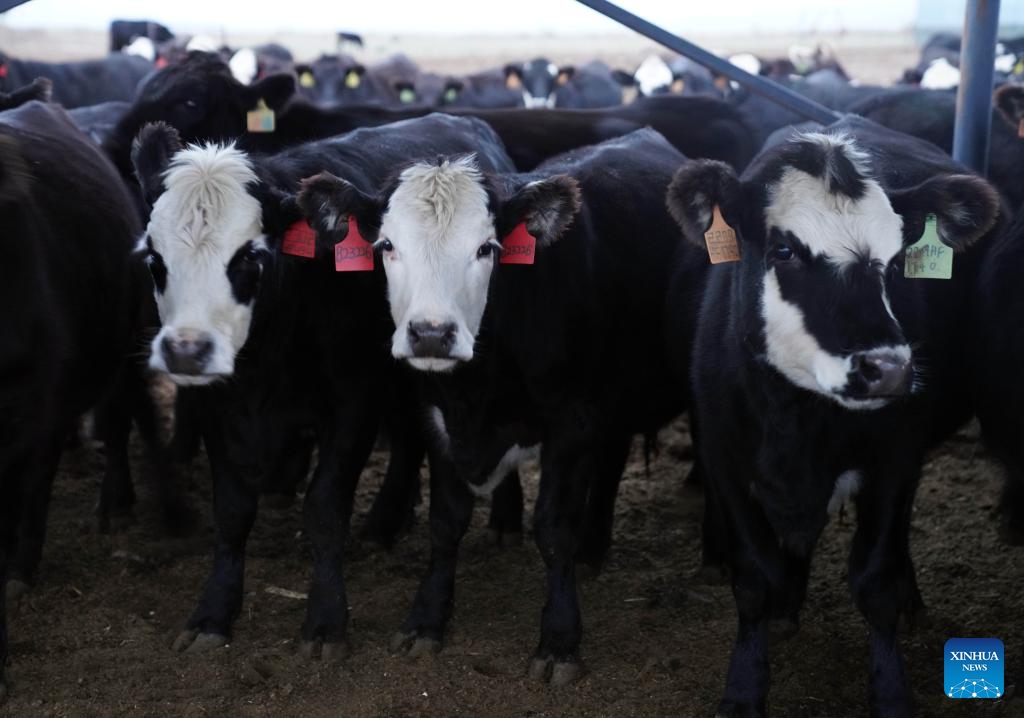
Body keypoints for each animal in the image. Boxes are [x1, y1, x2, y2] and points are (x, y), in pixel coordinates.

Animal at [129, 113, 518, 657]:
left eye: (250, 257)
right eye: (154, 259)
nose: (187, 349)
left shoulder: (352, 405)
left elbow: (325, 508)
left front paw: (326, 621)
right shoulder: (214, 407)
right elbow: (231, 509)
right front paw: (214, 613)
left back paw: (501, 521)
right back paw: (384, 523)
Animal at [296, 128, 710, 683]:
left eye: (486, 247)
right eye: (386, 245)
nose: (431, 334)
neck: (478, 388)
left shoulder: (573, 423)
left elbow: (554, 527)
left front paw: (559, 641)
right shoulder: (439, 420)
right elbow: (445, 521)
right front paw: (426, 619)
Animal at [665, 116, 1000, 716]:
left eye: (899, 262)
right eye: (784, 250)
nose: (887, 368)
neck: (795, 418)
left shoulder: (897, 458)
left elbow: (876, 582)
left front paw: (891, 693)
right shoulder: (723, 458)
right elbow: (755, 578)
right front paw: (744, 688)